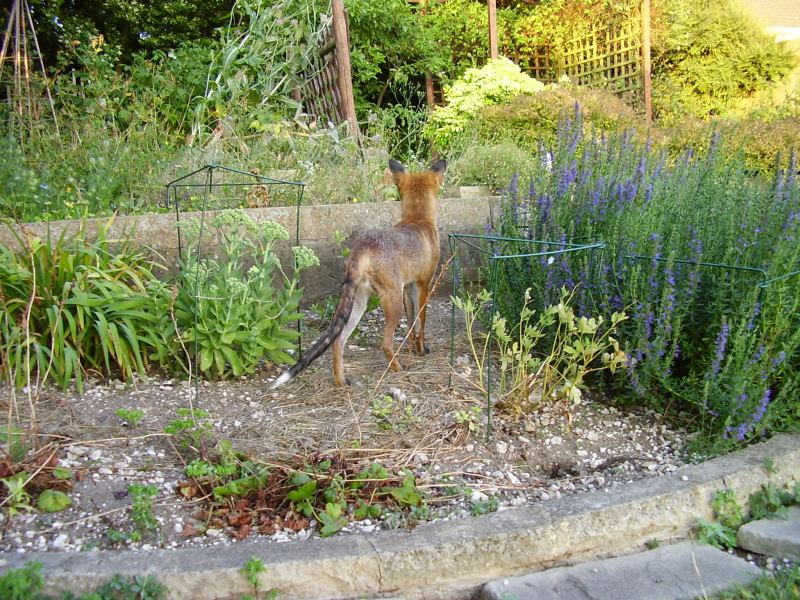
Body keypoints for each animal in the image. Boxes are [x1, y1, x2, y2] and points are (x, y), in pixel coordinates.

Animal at [274, 158, 450, 390]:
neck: (417, 220)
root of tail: (362, 247)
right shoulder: (423, 284)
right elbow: (421, 324)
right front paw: (421, 351)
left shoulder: (408, 286)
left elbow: (412, 325)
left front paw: (415, 349)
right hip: (391, 301)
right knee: (384, 343)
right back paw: (397, 368)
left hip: (359, 304)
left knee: (338, 341)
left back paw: (341, 382)